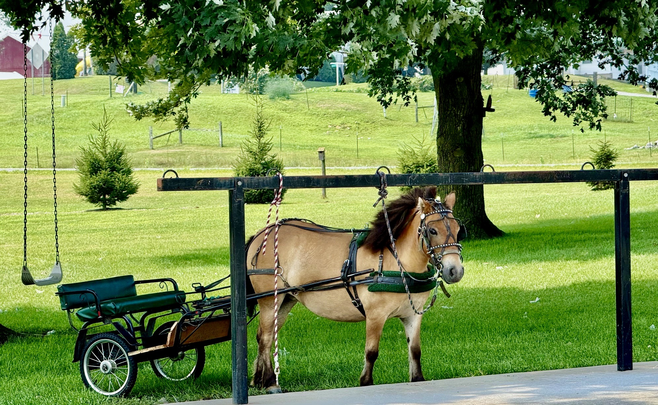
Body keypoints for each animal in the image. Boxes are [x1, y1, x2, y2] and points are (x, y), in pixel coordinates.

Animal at [245, 186, 465, 393]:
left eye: (457, 229)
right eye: (432, 231)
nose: (455, 271)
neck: (396, 261)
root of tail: (262, 234)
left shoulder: (413, 315)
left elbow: (415, 351)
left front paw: (418, 378)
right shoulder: (375, 315)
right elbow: (371, 352)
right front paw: (365, 382)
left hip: (286, 299)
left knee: (266, 335)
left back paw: (260, 379)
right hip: (269, 300)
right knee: (265, 337)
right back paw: (269, 382)